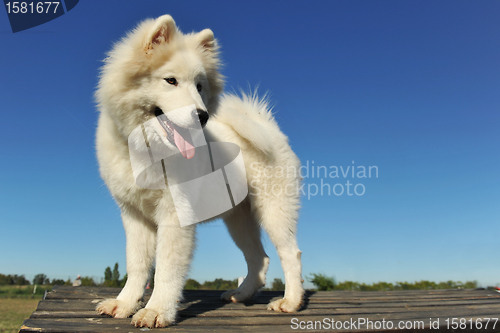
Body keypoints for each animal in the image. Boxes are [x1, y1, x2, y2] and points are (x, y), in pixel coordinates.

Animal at [94, 14, 304, 326]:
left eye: (199, 86)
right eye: (170, 80)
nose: (202, 116)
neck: (148, 150)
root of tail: (266, 126)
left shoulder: (174, 213)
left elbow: (166, 268)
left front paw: (156, 311)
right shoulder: (134, 215)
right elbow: (137, 264)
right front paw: (125, 303)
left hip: (274, 209)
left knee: (290, 254)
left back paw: (290, 302)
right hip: (239, 219)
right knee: (259, 258)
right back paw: (241, 295)